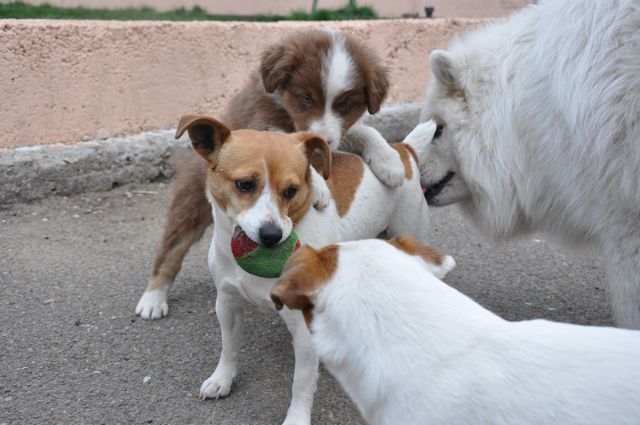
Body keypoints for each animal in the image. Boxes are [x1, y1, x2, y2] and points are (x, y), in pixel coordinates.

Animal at [136, 28, 404, 318]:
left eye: (345, 105)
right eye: (306, 99)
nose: (323, 138)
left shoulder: (338, 136)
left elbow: (363, 131)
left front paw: (389, 161)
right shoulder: (260, 123)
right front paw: (319, 186)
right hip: (191, 203)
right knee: (171, 249)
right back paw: (153, 298)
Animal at [172, 115, 430, 424]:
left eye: (291, 191)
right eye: (244, 184)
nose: (271, 235)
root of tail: (404, 150)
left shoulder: (304, 332)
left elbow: (302, 383)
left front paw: (296, 418)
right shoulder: (227, 303)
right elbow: (229, 347)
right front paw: (222, 379)